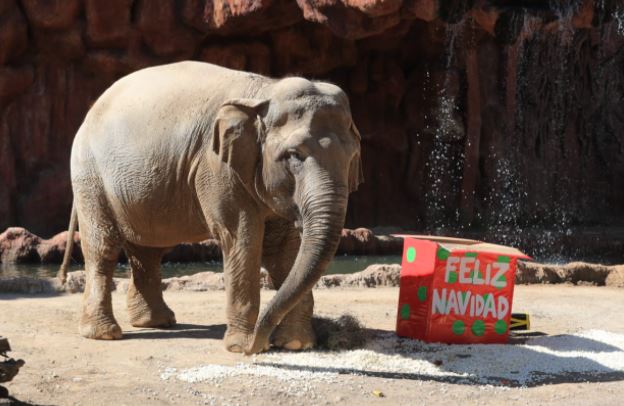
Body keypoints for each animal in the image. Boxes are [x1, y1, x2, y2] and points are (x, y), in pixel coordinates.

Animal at [58, 61, 364, 356]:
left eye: (352, 157)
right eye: (294, 155)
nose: (259, 345)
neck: (264, 92)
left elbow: (282, 248)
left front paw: (295, 344)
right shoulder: (216, 167)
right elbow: (242, 237)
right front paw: (240, 346)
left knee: (149, 250)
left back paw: (156, 322)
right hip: (89, 175)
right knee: (104, 247)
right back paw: (105, 334)